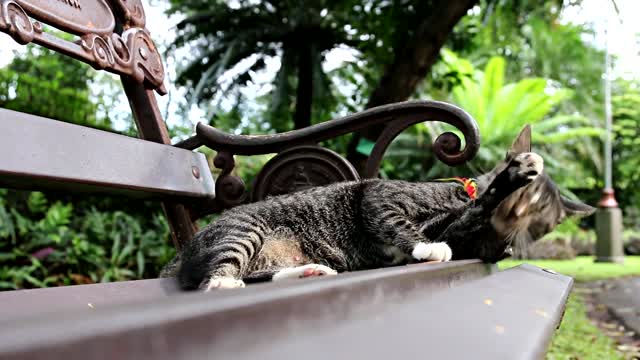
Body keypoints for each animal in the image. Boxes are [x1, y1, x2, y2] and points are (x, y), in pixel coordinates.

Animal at [164, 125, 596, 292]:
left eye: (545, 224)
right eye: (527, 203)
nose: (517, 236)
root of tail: (182, 255)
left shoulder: (464, 232)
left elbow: (469, 223)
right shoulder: (378, 195)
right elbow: (401, 222)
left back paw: (308, 272)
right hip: (244, 231)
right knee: (213, 281)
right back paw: (229, 282)